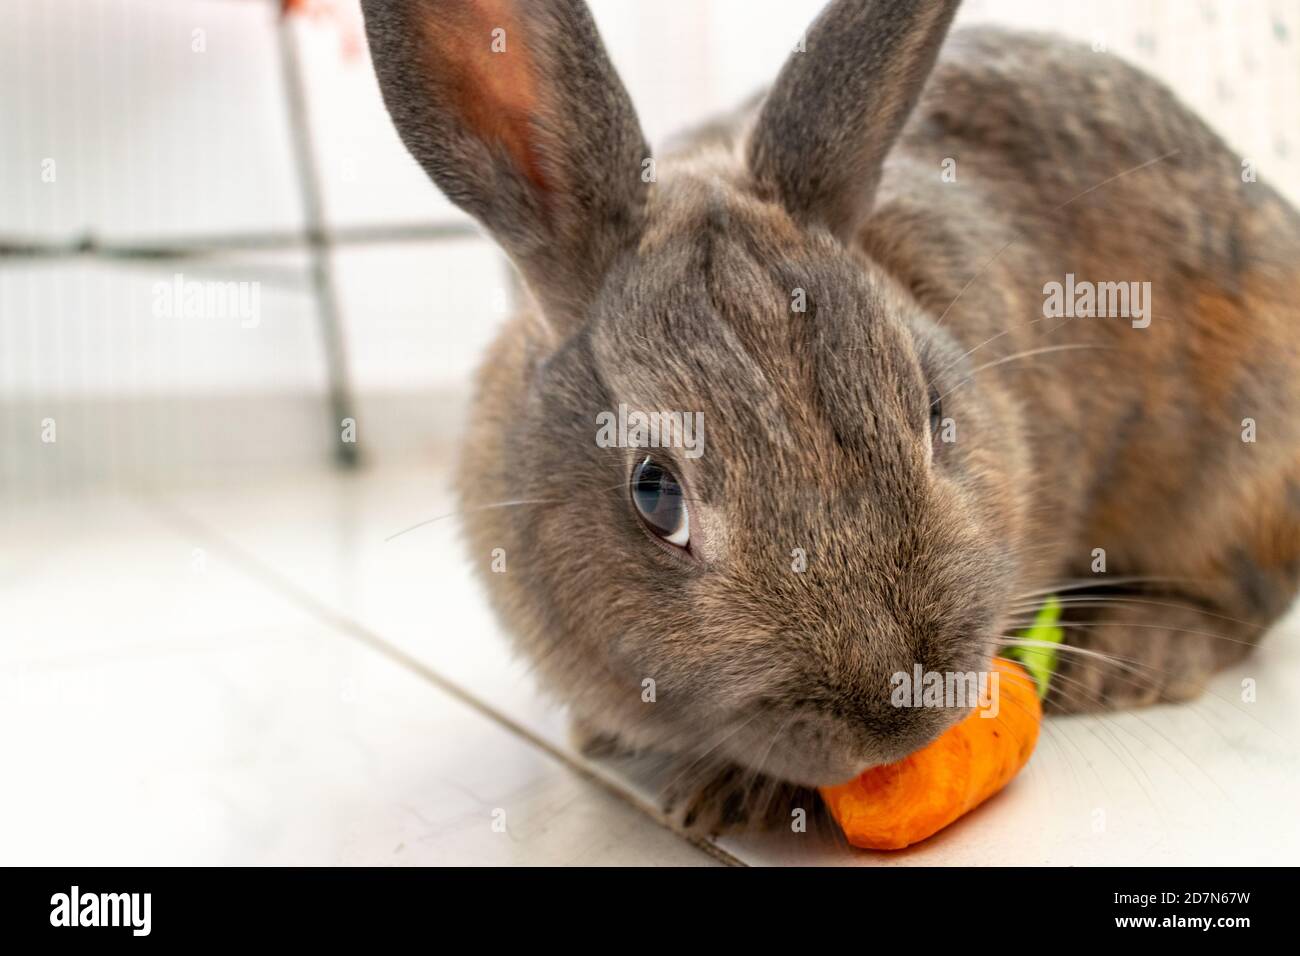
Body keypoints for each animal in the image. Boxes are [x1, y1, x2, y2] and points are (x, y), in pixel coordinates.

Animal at [360, 0, 1300, 835]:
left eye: (932, 411)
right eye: (655, 495)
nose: (900, 717)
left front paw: (732, 793)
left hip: (1245, 469)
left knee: (1245, 597)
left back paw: (1139, 654)